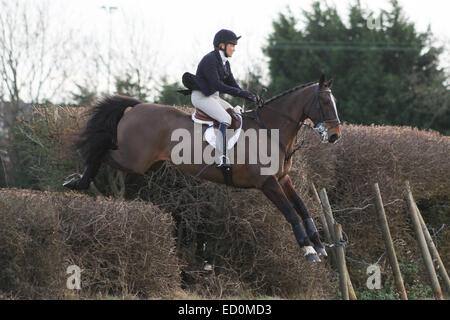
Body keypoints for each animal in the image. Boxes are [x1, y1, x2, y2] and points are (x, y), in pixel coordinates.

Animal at [64, 74, 342, 262]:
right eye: (325, 103)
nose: (335, 136)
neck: (271, 130)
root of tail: (137, 106)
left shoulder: (283, 179)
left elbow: (302, 207)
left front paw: (319, 245)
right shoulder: (267, 183)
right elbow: (290, 212)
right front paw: (308, 249)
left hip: (149, 165)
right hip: (134, 160)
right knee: (100, 151)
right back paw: (78, 181)